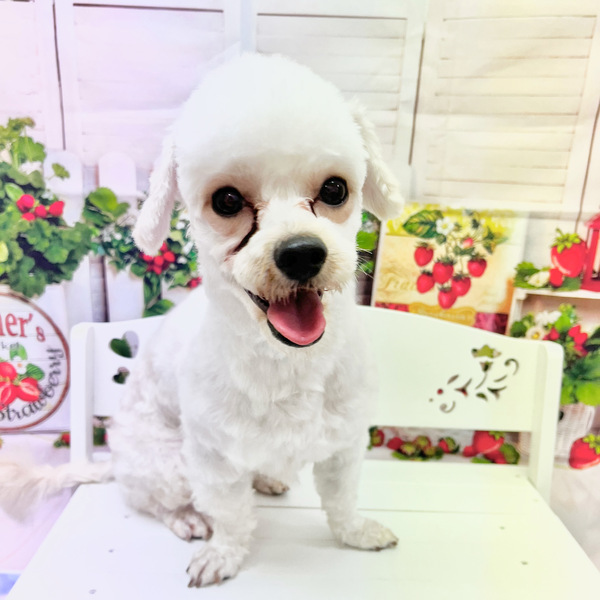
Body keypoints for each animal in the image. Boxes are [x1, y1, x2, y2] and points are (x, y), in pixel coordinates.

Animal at [2, 53, 404, 587]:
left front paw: (355, 533)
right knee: (156, 501)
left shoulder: (344, 443)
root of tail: (116, 462)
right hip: (169, 462)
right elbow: (230, 515)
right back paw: (188, 518)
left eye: (335, 189)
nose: (301, 253)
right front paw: (223, 554)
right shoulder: (213, 459)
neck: (286, 363)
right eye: (227, 201)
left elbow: (341, 500)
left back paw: (268, 478)